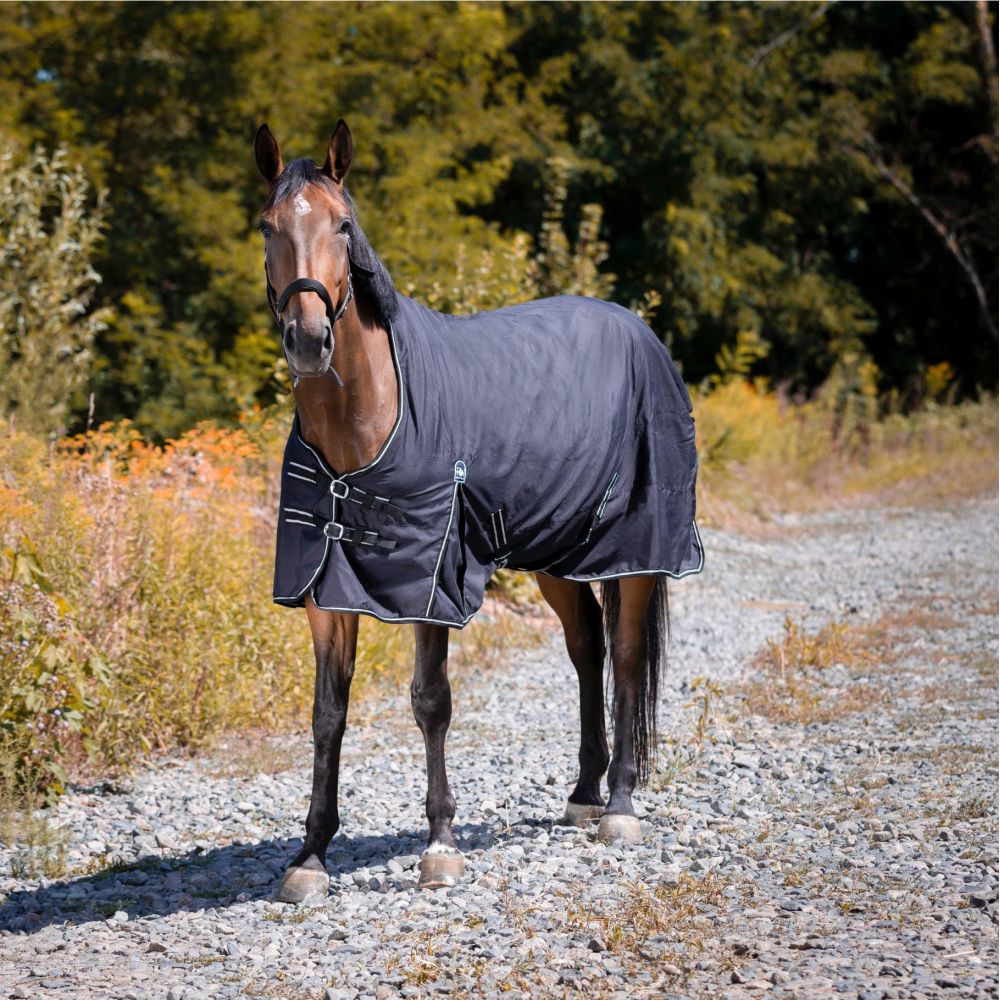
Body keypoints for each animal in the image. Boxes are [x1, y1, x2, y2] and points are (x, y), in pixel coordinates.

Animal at [254, 120, 703, 903]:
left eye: (342, 225)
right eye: (267, 226)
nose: (310, 341)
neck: (372, 418)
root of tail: (639, 330)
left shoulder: (431, 581)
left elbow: (430, 700)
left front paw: (440, 846)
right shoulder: (324, 590)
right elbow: (327, 713)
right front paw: (310, 856)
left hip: (637, 549)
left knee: (623, 654)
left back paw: (618, 805)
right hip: (555, 549)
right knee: (586, 646)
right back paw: (583, 794)